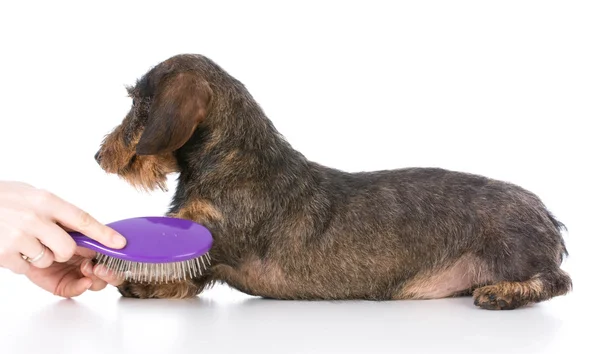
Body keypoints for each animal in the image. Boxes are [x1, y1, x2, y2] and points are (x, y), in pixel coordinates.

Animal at [94, 53, 572, 310]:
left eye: (139, 104)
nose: (99, 156)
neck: (231, 160)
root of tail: (546, 214)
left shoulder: (212, 240)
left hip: (512, 251)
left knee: (558, 282)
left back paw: (505, 293)